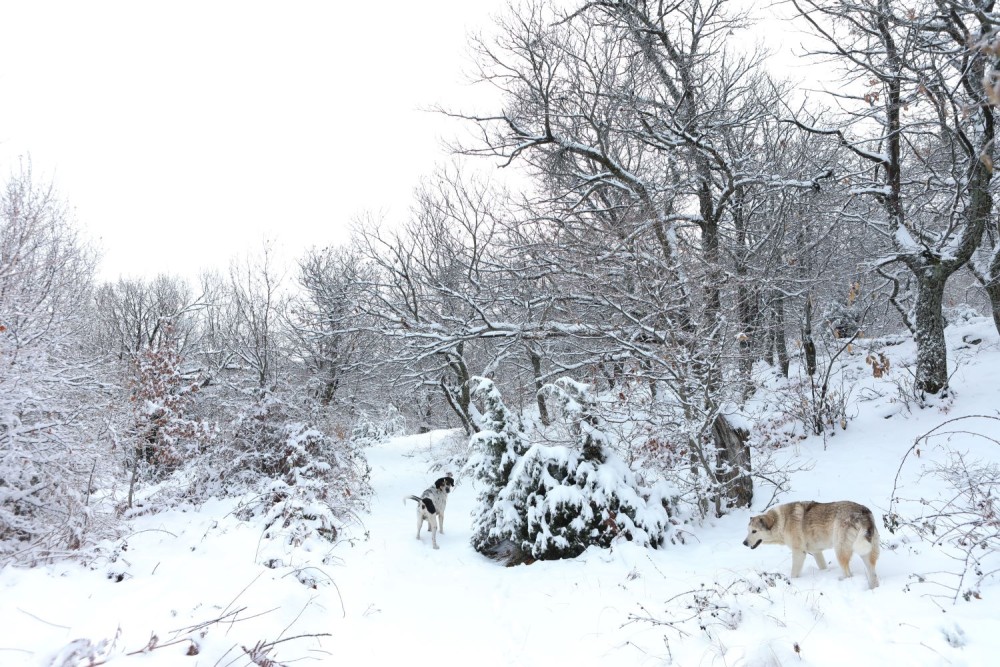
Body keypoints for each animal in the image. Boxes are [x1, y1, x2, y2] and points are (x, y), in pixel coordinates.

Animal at [748, 500, 880, 588]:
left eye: (754, 531)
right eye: (748, 531)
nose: (744, 543)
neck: (782, 521)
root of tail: (863, 512)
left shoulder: (799, 553)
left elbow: (793, 574)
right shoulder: (817, 552)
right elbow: (823, 566)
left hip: (840, 551)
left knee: (848, 574)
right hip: (866, 554)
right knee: (873, 575)